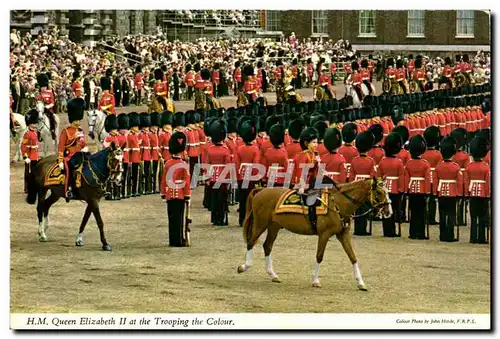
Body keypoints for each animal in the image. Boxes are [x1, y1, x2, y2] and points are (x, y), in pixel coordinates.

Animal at [236, 177, 392, 290]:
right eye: (379, 192)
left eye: (387, 191)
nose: (388, 212)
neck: (338, 204)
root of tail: (261, 190)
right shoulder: (324, 234)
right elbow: (319, 256)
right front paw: (315, 280)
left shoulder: (343, 235)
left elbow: (353, 257)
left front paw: (360, 283)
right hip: (260, 224)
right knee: (251, 243)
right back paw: (244, 267)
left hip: (274, 226)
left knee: (267, 246)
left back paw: (273, 275)